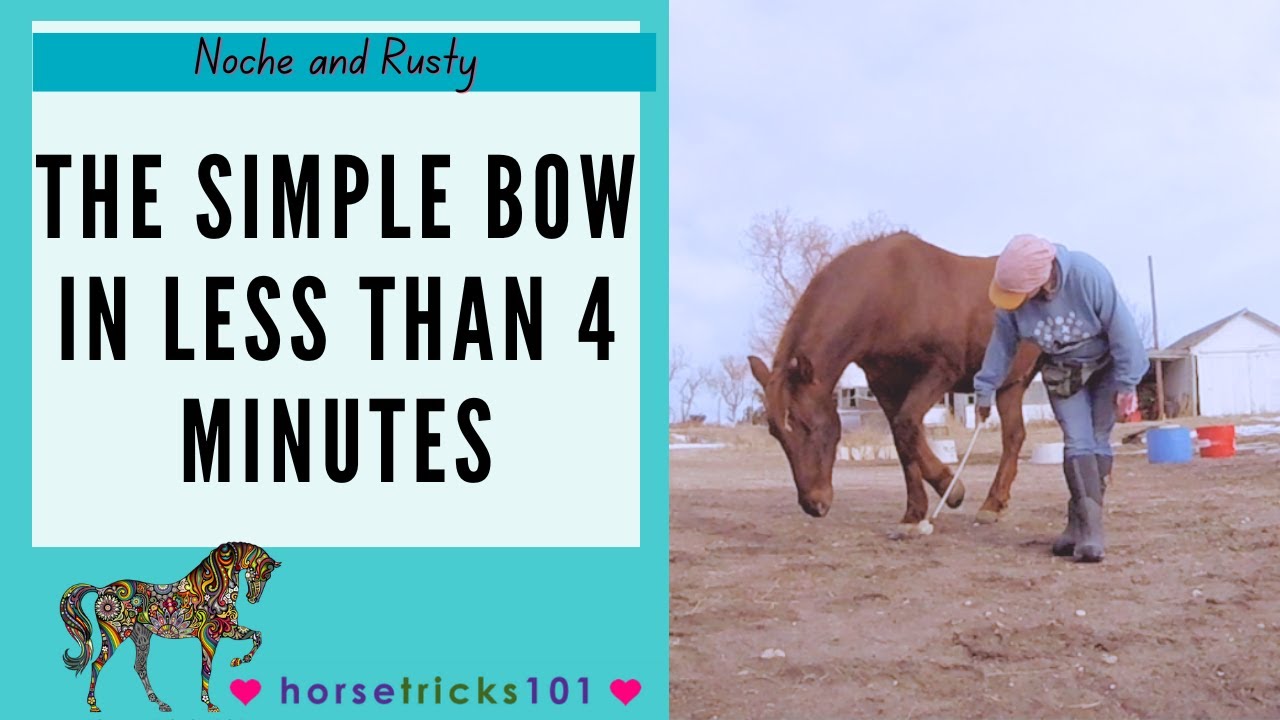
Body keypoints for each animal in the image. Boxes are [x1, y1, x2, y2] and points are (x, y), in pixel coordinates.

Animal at [59, 541, 282, 713]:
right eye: (265, 575)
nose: (253, 599)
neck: (213, 592)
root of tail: (101, 590)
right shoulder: (210, 636)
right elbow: (206, 670)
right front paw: (209, 705)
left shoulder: (228, 630)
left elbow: (258, 636)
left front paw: (238, 661)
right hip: (115, 634)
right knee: (97, 664)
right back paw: (93, 704)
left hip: (141, 638)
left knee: (139, 667)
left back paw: (160, 703)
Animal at [748, 232, 1043, 531]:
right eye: (777, 433)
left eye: (809, 426)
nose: (814, 504)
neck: (890, 292)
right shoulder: (885, 385)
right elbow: (903, 442)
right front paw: (914, 514)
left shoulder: (940, 370)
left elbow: (906, 425)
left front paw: (952, 489)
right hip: (1012, 383)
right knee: (1014, 435)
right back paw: (993, 504)